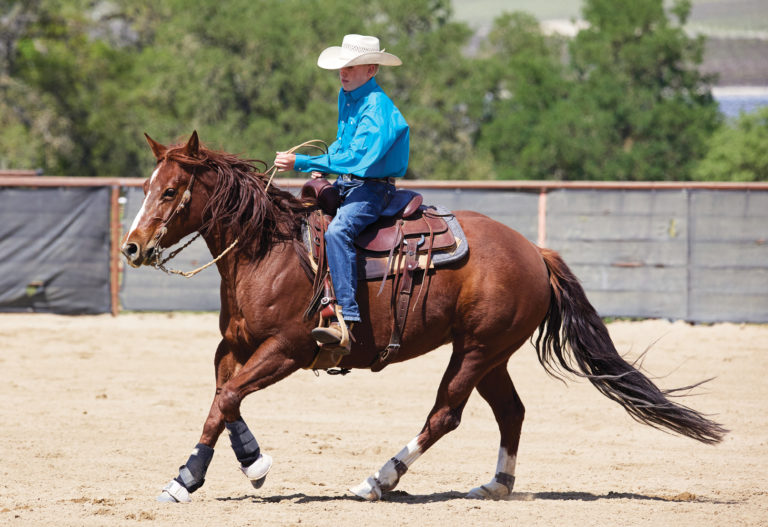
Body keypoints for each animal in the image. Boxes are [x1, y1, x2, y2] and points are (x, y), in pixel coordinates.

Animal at [121, 131, 726, 503]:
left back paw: (378, 478)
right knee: (511, 412)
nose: (131, 248)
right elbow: (222, 398)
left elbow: (226, 397)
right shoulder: (236, 345)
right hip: (493, 354)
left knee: (445, 414)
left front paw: (194, 477)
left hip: (475, 350)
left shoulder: (289, 349)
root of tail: (535, 252)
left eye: (171, 191)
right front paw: (240, 464)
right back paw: (495, 485)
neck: (267, 250)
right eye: (145, 187)